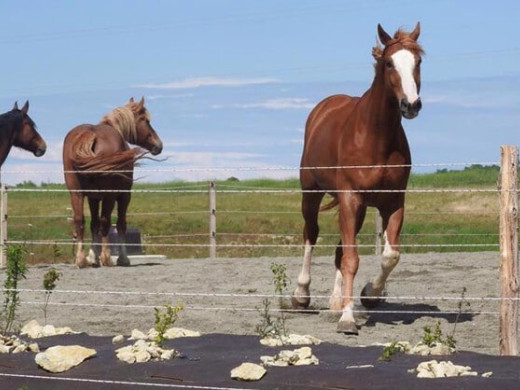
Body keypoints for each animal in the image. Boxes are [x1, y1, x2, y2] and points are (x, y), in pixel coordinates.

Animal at [64, 97, 162, 268]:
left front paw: (93, 257)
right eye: (146, 120)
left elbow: (94, 224)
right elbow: (121, 224)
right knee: (106, 222)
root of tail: (90, 134)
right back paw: (106, 257)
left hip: (76, 193)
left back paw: (81, 259)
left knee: (80, 220)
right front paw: (122, 258)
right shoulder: (124, 195)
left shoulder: (93, 198)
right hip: (110, 196)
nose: (158, 145)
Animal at [290, 23, 424, 336]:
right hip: (312, 194)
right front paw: (348, 319)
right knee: (310, 234)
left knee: (339, 247)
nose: (411, 105)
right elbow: (352, 259)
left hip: (357, 208)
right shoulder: (351, 198)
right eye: (389, 63)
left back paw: (336, 302)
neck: (377, 136)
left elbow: (390, 255)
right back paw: (301, 294)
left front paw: (368, 295)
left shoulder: (392, 203)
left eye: (418, 62)